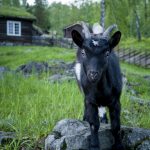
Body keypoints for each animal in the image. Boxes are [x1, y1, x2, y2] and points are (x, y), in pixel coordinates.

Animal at [71, 22, 124, 150]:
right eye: (84, 52)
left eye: (107, 53)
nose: (93, 74)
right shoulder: (90, 100)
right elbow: (94, 124)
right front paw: (94, 145)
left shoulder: (116, 101)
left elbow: (116, 125)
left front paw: (119, 145)